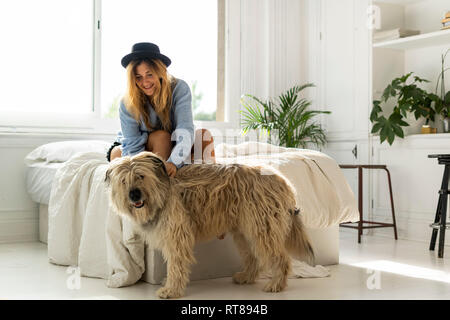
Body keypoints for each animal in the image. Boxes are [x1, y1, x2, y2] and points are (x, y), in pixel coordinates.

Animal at [104, 151, 312, 298]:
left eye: (141, 176)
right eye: (123, 181)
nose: (134, 195)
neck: (163, 193)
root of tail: (282, 180)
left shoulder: (177, 236)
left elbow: (176, 264)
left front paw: (171, 290)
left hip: (263, 228)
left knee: (280, 258)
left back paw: (276, 284)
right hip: (245, 231)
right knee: (253, 257)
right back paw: (246, 277)